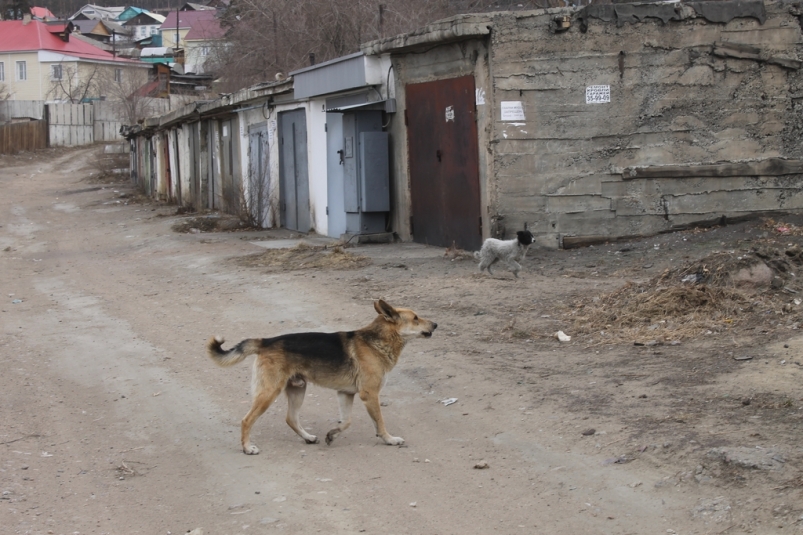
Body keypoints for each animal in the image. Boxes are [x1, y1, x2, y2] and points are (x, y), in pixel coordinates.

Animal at [204, 300, 436, 454]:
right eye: (416, 318)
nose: (436, 325)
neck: (376, 340)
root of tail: (266, 341)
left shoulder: (346, 394)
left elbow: (346, 421)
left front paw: (332, 434)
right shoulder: (369, 394)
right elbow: (379, 422)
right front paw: (389, 439)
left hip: (298, 389)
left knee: (291, 418)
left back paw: (308, 437)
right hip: (269, 393)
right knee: (246, 420)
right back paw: (247, 447)